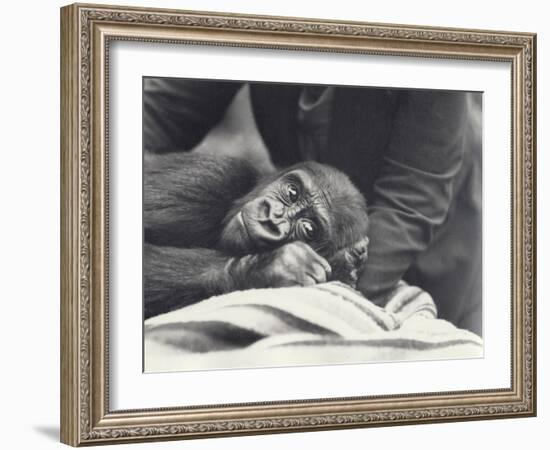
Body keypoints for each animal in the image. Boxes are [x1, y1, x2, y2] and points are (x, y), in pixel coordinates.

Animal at [147, 153, 370, 318]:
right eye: (292, 192)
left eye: (309, 229)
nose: (271, 220)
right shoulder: (206, 177)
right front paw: (270, 267)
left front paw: (343, 265)